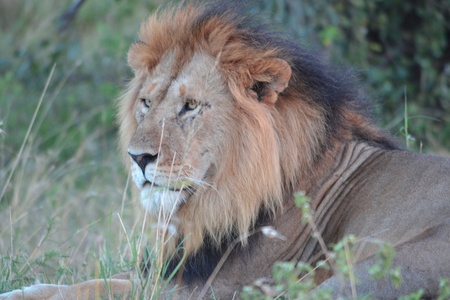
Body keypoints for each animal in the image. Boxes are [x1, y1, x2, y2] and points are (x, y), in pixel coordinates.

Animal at [1, 1, 448, 298]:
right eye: (146, 102)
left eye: (190, 106)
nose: (138, 157)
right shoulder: (177, 269)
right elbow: (81, 280)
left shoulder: (212, 287)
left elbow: (94, 286)